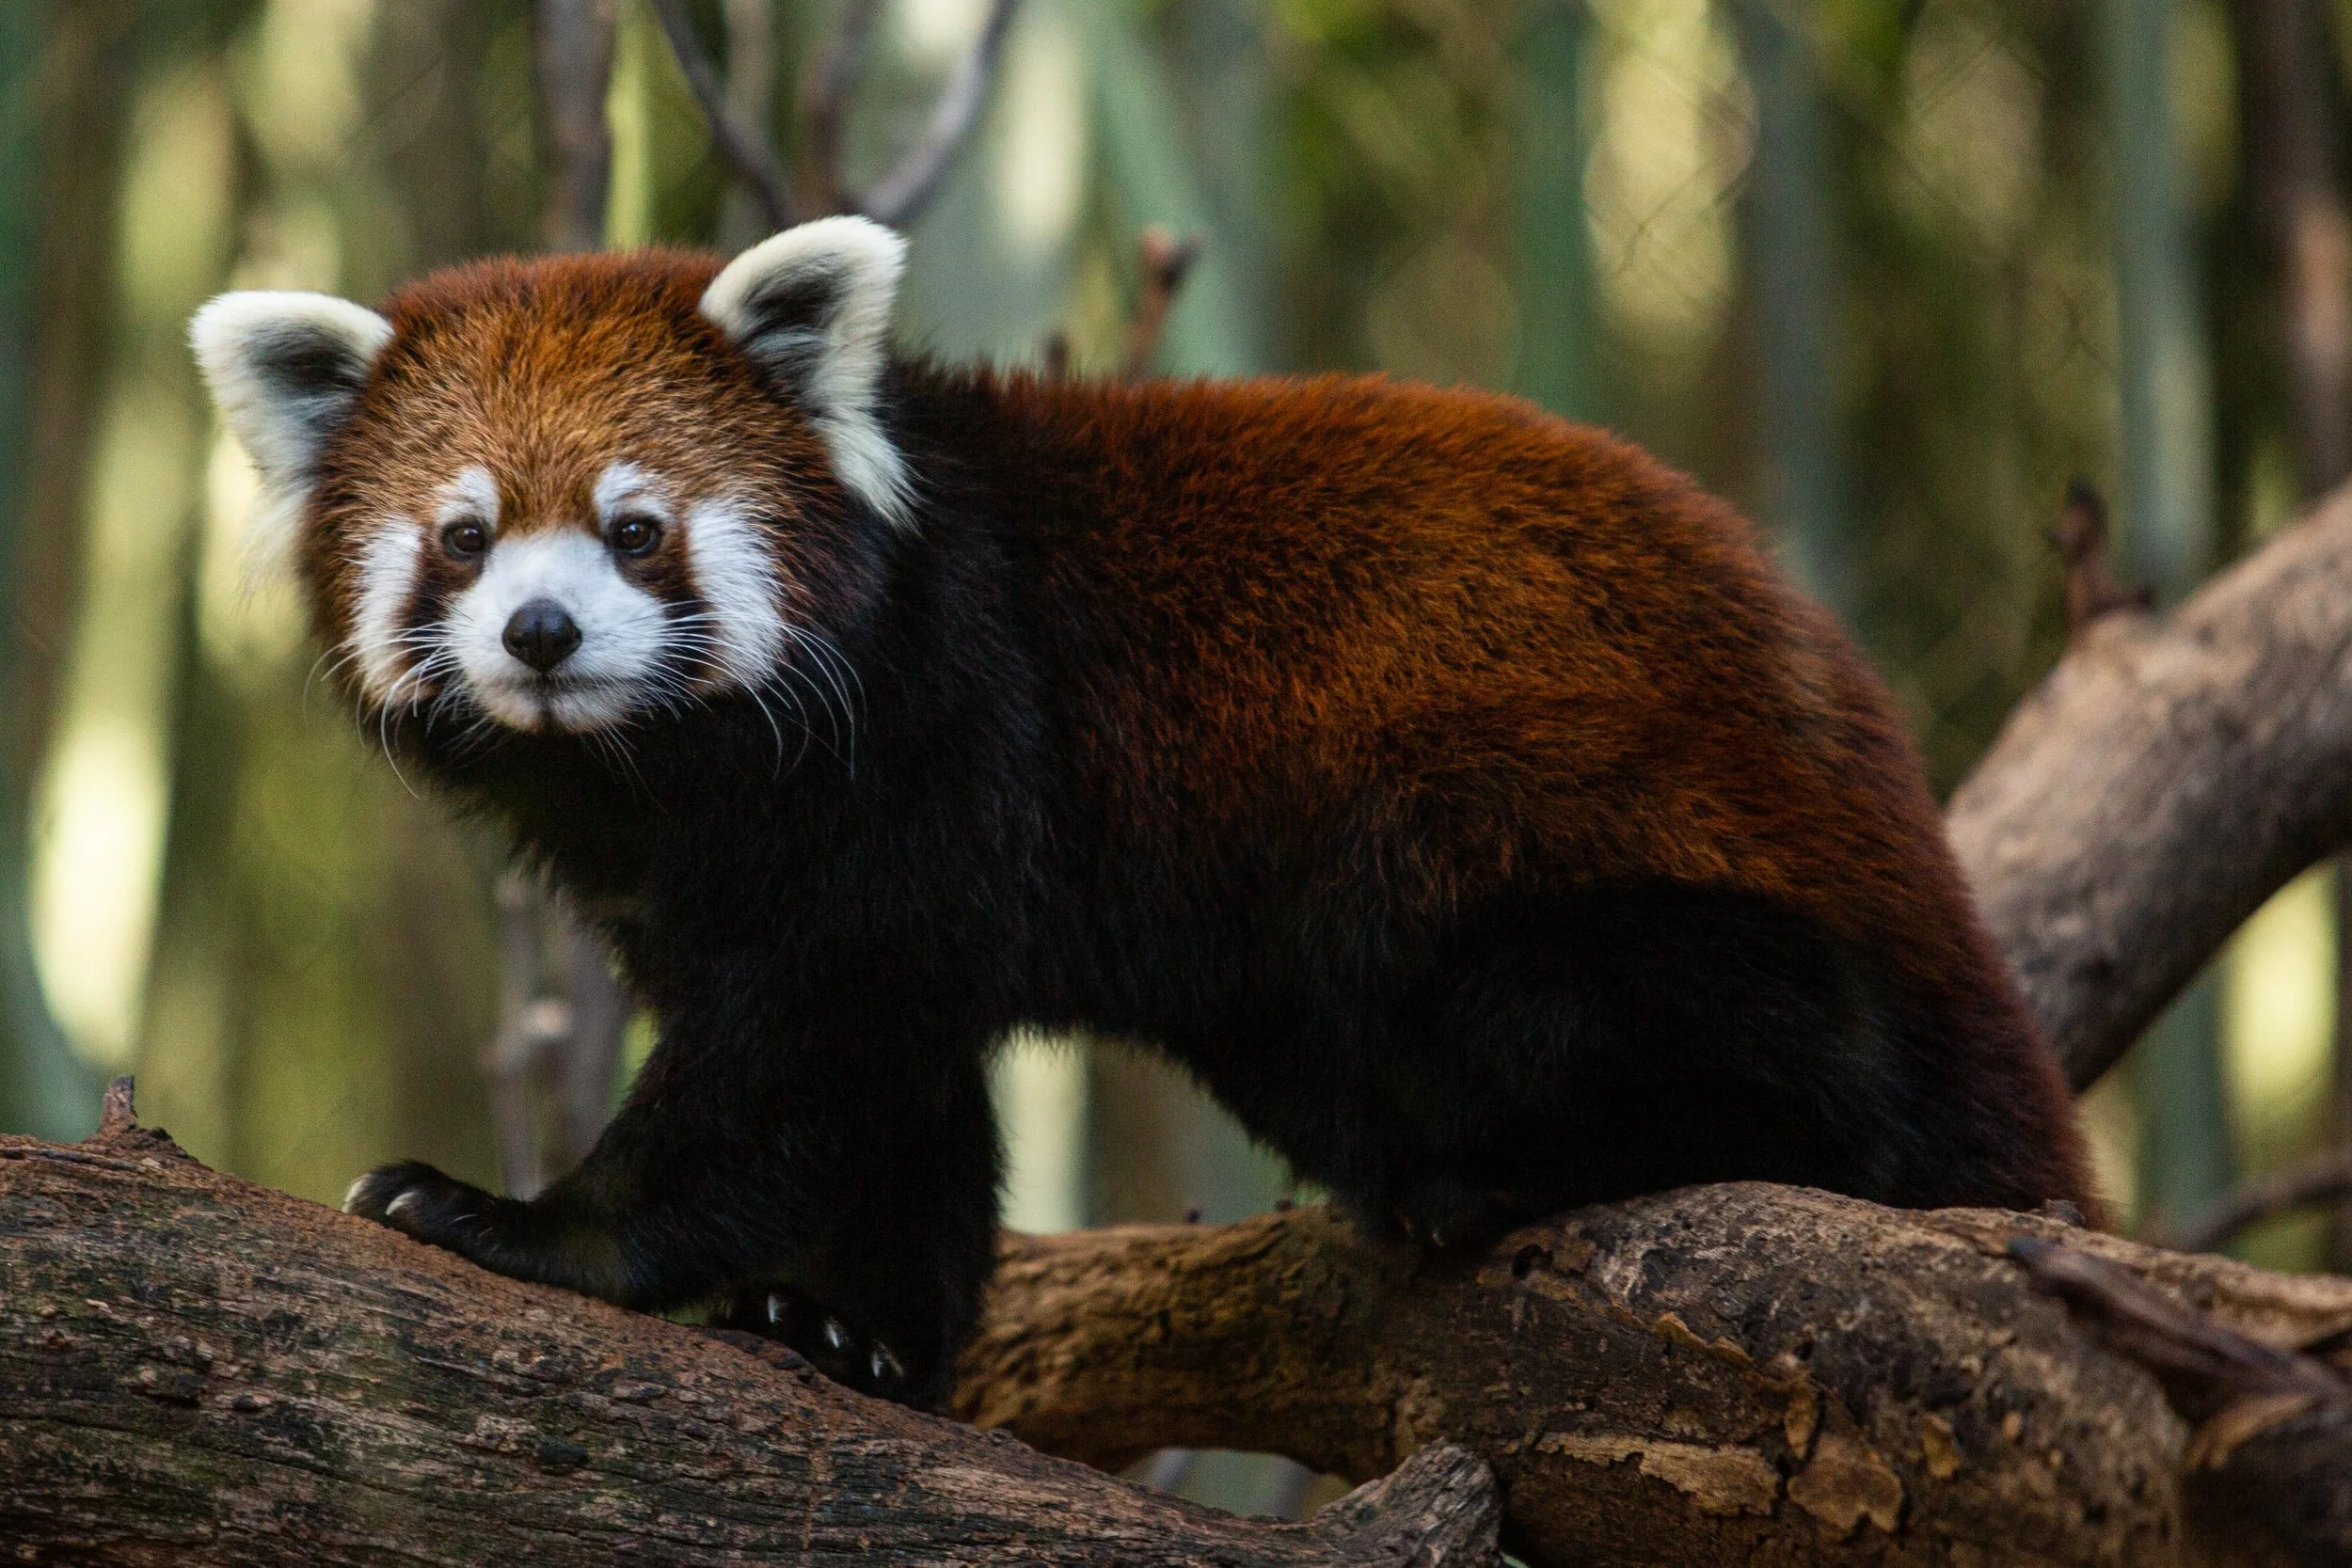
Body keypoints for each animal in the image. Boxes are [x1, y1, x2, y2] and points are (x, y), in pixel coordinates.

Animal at [191, 216, 2091, 1407]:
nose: (540, 631)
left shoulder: (943, 742)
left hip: (1535, 832)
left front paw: (529, 1227)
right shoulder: (718, 880)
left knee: (1739, 1037)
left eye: (635, 526)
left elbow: (793, 1062)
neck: (665, 775)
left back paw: (1500, 1172)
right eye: (462, 536)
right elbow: (896, 1094)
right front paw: (862, 1332)